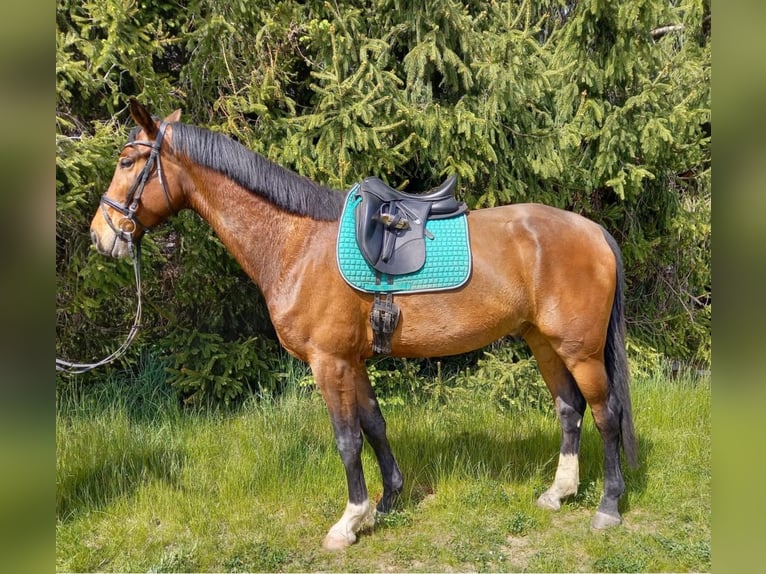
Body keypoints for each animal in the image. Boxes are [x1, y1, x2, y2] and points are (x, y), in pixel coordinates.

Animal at [89, 99, 638, 550]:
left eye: (126, 162)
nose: (101, 235)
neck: (298, 243)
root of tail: (592, 230)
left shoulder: (327, 362)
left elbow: (347, 439)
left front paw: (349, 521)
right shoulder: (351, 361)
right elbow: (374, 425)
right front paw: (386, 504)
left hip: (581, 350)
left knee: (605, 414)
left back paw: (608, 507)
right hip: (544, 343)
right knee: (568, 410)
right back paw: (558, 493)